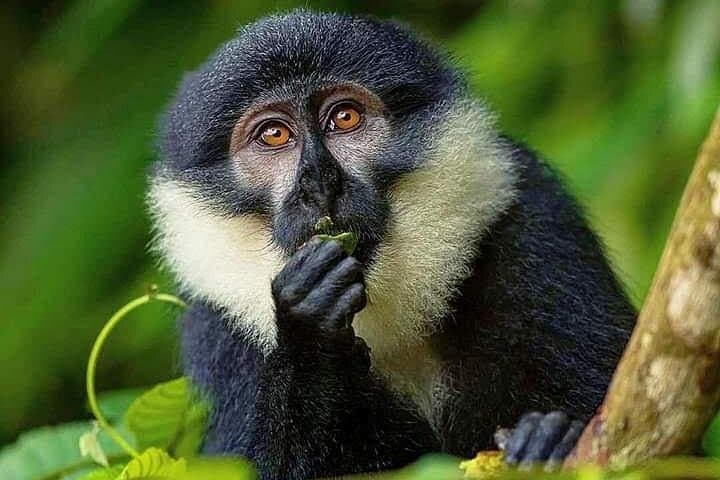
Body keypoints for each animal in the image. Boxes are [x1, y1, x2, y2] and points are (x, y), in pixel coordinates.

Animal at [148, 10, 635, 479]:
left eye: (344, 117)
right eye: (274, 135)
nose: (318, 180)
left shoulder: (537, 220)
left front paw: (551, 440)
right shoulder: (216, 328)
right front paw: (310, 333)